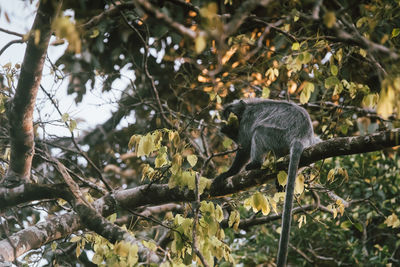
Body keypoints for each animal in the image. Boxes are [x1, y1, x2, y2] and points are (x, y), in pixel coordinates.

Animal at [214, 99, 320, 267]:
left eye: (231, 112)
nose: (229, 118)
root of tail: (302, 137)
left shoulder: (247, 119)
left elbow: (245, 146)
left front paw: (228, 173)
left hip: (279, 136)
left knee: (259, 131)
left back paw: (255, 164)